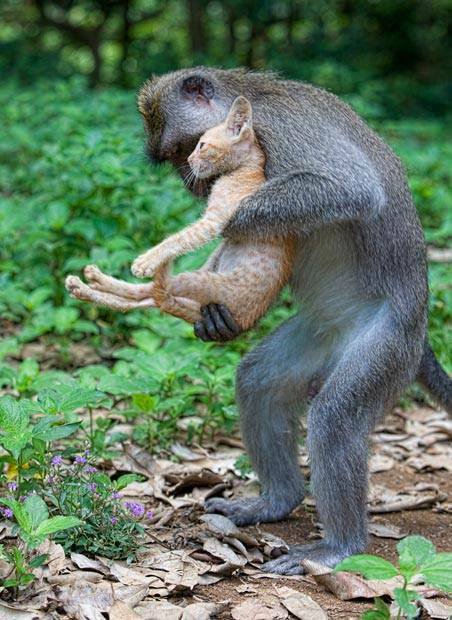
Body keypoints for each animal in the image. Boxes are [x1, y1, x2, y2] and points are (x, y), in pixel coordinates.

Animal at [65, 97, 294, 332]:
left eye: (202, 145)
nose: (190, 159)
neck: (247, 169)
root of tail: (244, 321)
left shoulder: (213, 222)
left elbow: (178, 238)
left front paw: (147, 260)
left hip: (199, 281)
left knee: (151, 295)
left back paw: (93, 282)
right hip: (209, 265)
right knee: (147, 299)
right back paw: (85, 284)